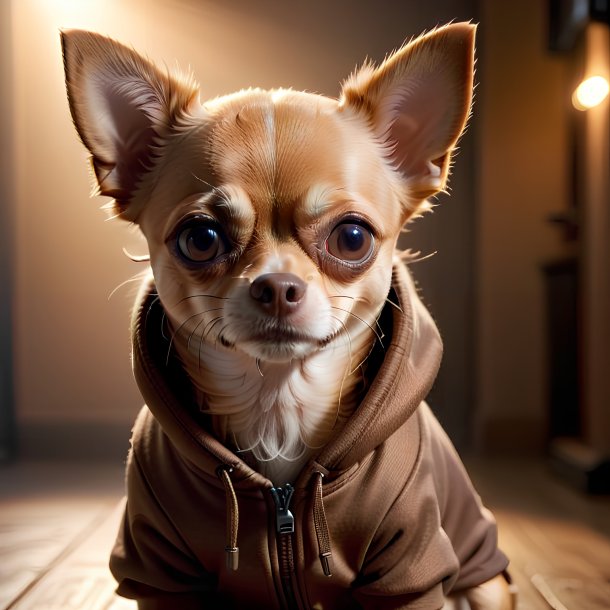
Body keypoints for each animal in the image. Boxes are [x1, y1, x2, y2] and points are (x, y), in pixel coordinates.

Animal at [63, 23, 512, 608]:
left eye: (352, 237)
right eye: (200, 239)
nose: (277, 286)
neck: (277, 409)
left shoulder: (409, 567)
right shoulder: (161, 570)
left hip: (485, 582)